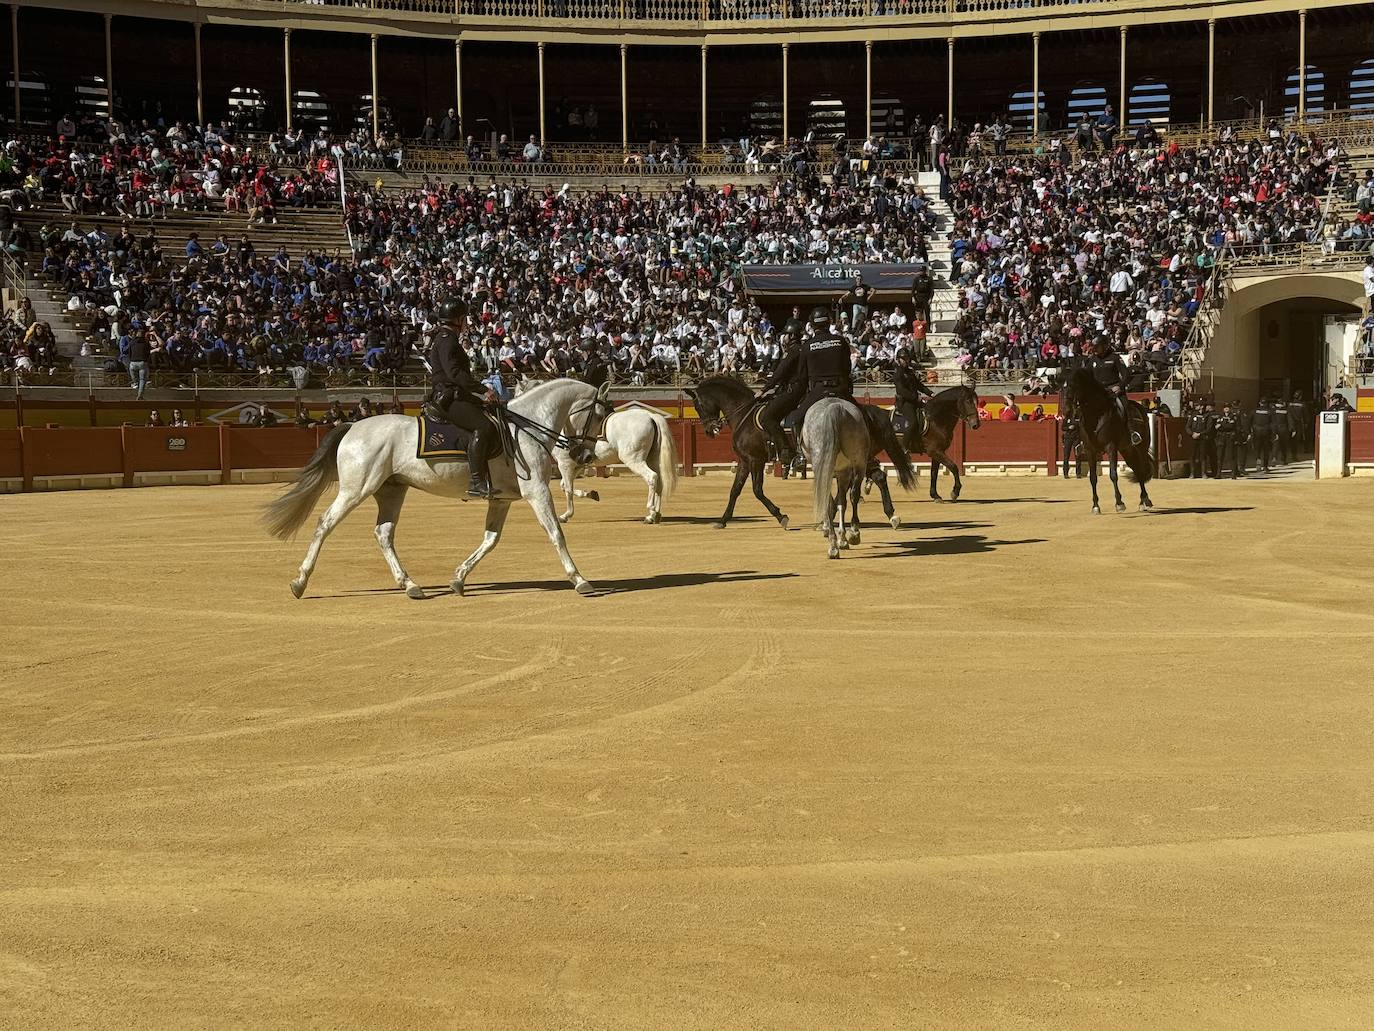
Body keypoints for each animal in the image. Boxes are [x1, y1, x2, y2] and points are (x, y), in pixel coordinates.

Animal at [262, 382, 612, 602]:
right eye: (597, 415)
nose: (585, 456)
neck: (526, 427)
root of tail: (352, 426)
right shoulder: (537, 491)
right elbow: (555, 534)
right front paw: (580, 580)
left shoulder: (502, 499)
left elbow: (490, 540)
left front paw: (458, 578)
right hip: (355, 489)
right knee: (325, 523)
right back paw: (299, 581)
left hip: (391, 491)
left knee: (383, 533)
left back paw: (409, 585)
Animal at [552, 406, 681, 525]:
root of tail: (650, 416)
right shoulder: (577, 466)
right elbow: (563, 486)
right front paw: (592, 494)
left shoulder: (565, 463)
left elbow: (568, 489)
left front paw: (565, 515)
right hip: (653, 459)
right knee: (660, 482)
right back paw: (655, 515)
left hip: (633, 460)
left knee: (652, 477)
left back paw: (651, 513)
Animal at [684, 376, 791, 527]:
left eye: (697, 407)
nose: (709, 431)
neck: (743, 416)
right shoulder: (744, 461)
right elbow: (735, 489)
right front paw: (723, 520)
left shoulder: (755, 460)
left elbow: (757, 490)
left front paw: (780, 516)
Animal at [802, 398, 873, 560]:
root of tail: (834, 408)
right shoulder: (845, 472)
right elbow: (844, 502)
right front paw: (847, 537)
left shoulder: (839, 472)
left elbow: (836, 503)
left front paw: (837, 536)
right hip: (858, 463)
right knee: (853, 495)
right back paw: (852, 534)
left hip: (825, 468)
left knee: (829, 501)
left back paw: (833, 545)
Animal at [1066, 371, 1154, 516]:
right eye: (1065, 385)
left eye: (1076, 385)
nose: (1068, 409)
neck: (1095, 415)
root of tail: (1140, 408)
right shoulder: (1090, 450)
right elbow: (1093, 478)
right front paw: (1095, 506)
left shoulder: (1110, 447)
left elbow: (1113, 474)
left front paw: (1119, 504)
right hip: (1127, 450)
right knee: (1136, 469)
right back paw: (1142, 501)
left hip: (1141, 447)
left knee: (1141, 469)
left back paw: (1146, 501)